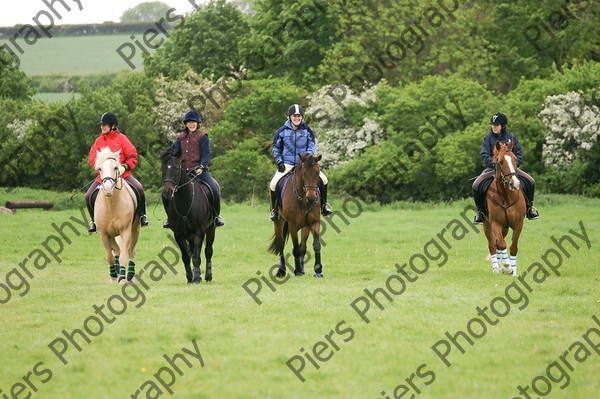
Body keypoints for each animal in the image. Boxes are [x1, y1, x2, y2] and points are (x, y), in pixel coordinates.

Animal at [94, 148, 140, 284]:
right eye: (99, 168)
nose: (108, 189)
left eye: (115, 167)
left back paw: (129, 275)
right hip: (112, 235)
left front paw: (123, 278)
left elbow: (124, 256)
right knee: (116, 251)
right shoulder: (104, 234)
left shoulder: (125, 231)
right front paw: (114, 277)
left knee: (131, 250)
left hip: (135, 230)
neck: (112, 205)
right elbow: (110, 257)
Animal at [159, 149, 216, 284]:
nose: (168, 192)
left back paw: (208, 276)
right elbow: (186, 256)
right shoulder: (179, 235)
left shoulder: (199, 232)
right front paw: (190, 278)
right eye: (162, 168)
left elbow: (196, 256)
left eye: (176, 168)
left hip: (211, 229)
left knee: (208, 251)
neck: (185, 203)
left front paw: (197, 278)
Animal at [482, 142, 524, 276]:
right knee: (493, 245)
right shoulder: (496, 223)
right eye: (500, 162)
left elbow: (513, 247)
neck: (507, 196)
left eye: (515, 159)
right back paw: (496, 268)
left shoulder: (518, 223)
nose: (514, 183)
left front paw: (513, 271)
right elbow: (501, 244)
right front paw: (507, 267)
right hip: (487, 225)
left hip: (505, 228)